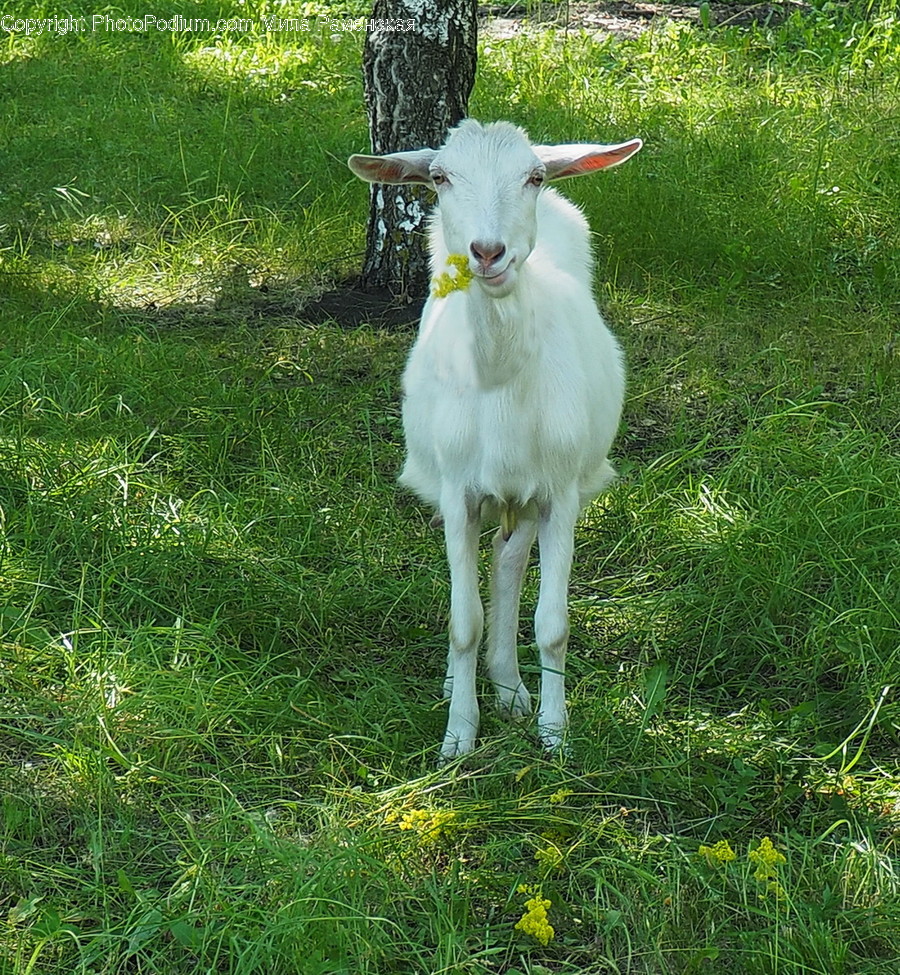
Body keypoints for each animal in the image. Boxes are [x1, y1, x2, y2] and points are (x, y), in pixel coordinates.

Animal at [349, 120, 642, 760]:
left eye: (532, 176)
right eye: (439, 177)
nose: (488, 252)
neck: (501, 382)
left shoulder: (560, 492)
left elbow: (552, 624)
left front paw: (555, 734)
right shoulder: (458, 491)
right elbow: (464, 621)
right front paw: (458, 735)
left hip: (532, 496)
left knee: (507, 566)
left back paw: (509, 687)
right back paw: (468, 683)